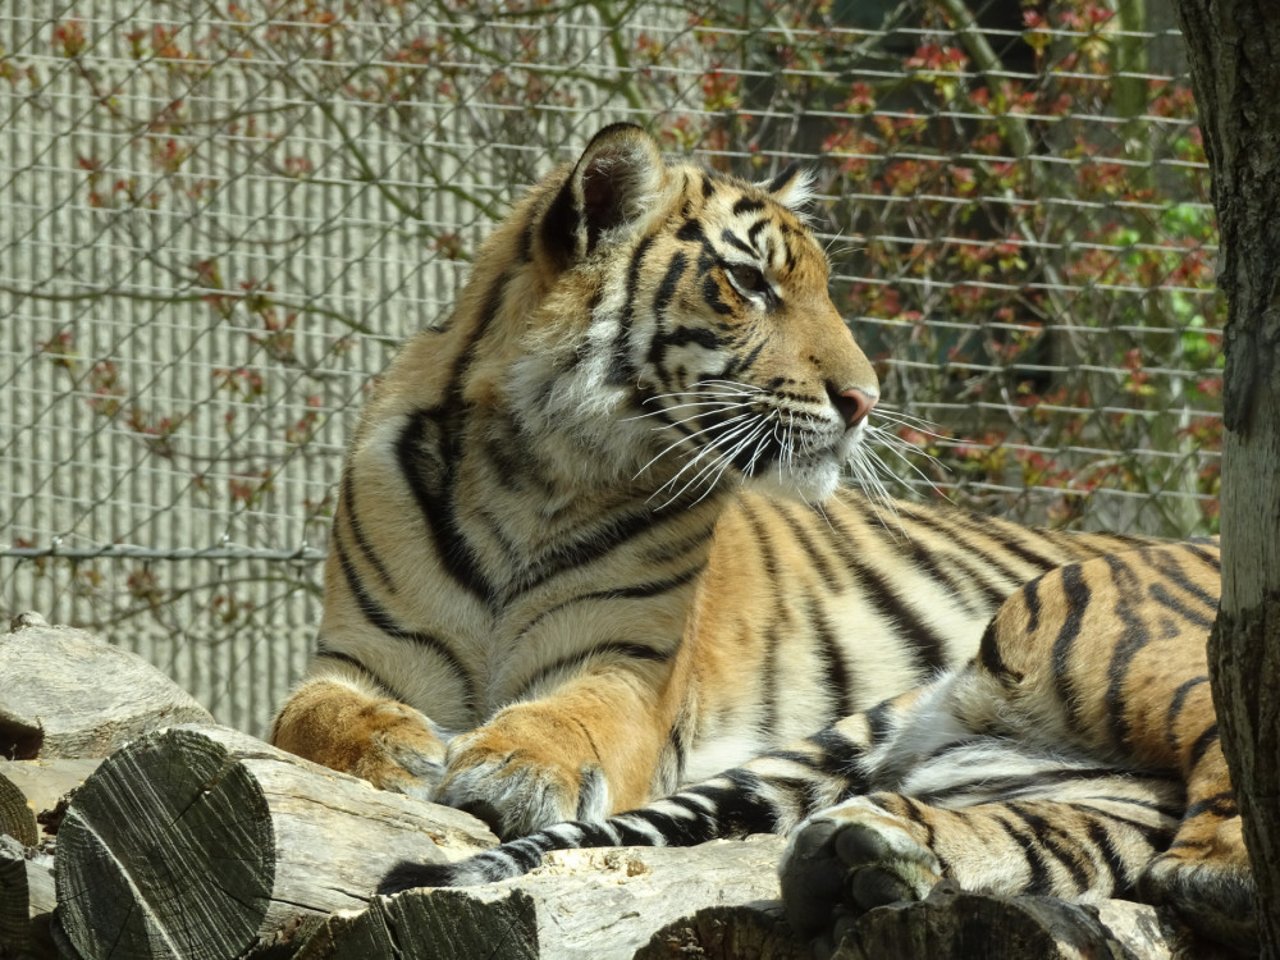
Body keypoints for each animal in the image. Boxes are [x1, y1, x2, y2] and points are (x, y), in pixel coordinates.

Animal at [275, 122, 1146, 855]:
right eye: (750, 281)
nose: (865, 399)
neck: (533, 473)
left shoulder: (630, 665)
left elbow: (577, 715)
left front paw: (518, 765)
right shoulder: (361, 653)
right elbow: (304, 713)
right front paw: (395, 744)